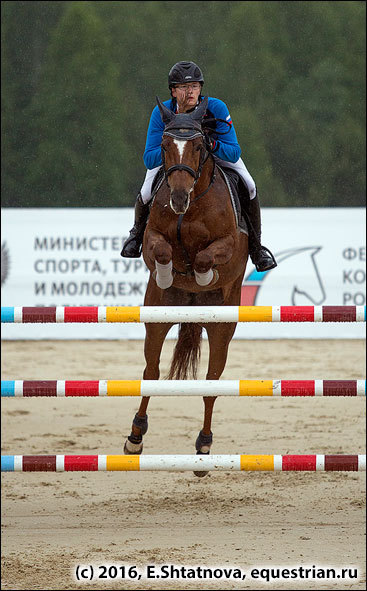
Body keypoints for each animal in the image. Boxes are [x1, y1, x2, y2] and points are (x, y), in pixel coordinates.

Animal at [124, 97, 250, 476]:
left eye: (198, 146)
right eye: (165, 145)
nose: (178, 198)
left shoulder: (229, 243)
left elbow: (207, 258)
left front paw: (203, 277)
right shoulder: (152, 237)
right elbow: (162, 249)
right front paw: (169, 273)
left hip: (223, 328)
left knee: (211, 384)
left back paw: (204, 448)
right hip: (157, 316)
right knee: (151, 371)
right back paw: (135, 437)